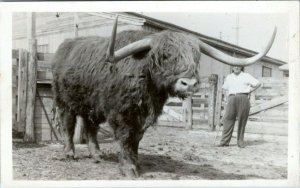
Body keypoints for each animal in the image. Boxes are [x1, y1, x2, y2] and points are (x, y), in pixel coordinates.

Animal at [52, 17, 276, 176]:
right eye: (165, 56)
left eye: (195, 57)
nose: (189, 84)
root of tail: (64, 47)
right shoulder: (121, 113)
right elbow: (125, 137)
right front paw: (128, 168)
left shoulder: (142, 117)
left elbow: (136, 139)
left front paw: (137, 163)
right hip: (64, 101)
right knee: (68, 124)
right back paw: (69, 153)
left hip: (92, 103)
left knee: (90, 126)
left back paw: (97, 154)